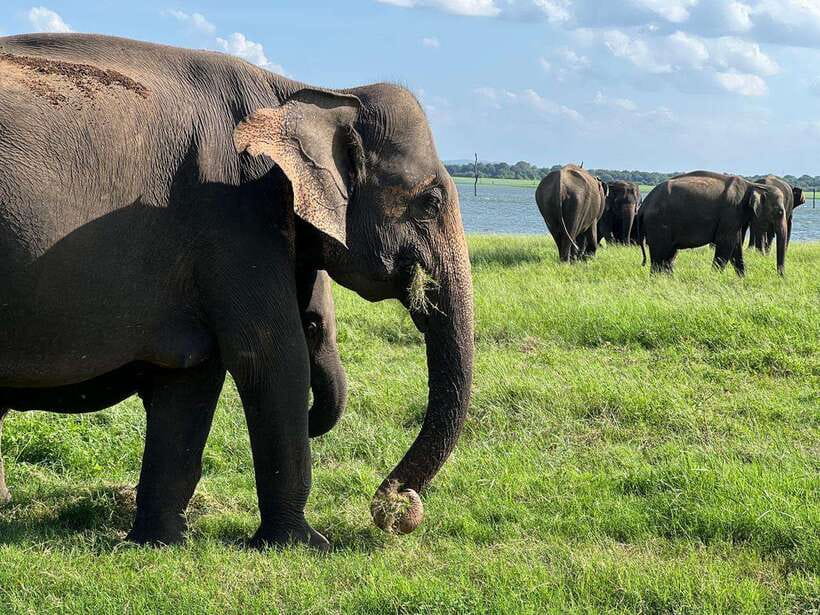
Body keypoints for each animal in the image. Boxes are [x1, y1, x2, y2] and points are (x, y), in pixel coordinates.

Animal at [0, 34, 474, 548]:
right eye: (430, 202)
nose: (397, 508)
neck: (305, 92)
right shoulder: (235, 211)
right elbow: (270, 356)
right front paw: (303, 544)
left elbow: (190, 374)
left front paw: (159, 543)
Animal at [637, 170, 787, 276]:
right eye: (780, 212)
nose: (780, 276)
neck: (753, 186)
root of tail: (643, 205)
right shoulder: (731, 211)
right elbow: (726, 244)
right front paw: (714, 278)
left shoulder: (734, 217)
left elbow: (736, 245)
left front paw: (742, 279)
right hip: (658, 223)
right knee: (659, 255)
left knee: (669, 255)